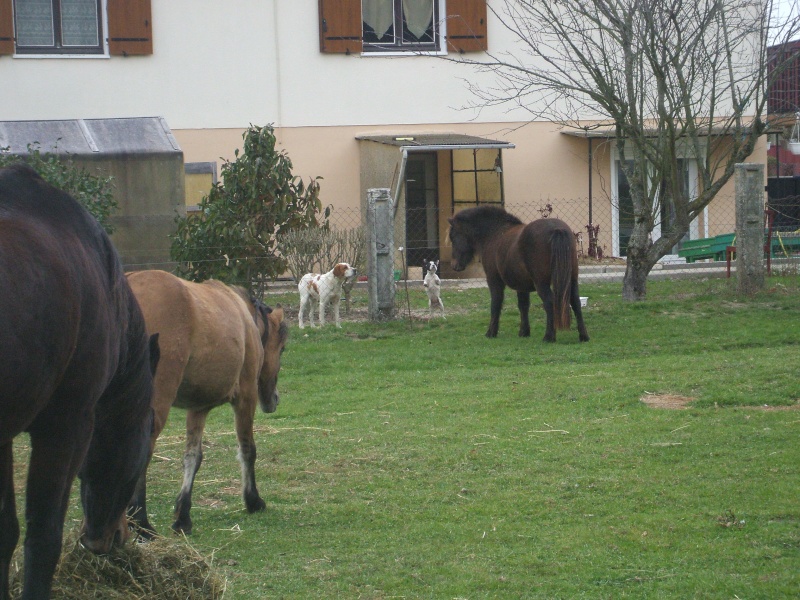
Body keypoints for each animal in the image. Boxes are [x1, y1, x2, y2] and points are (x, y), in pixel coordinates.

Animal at [125, 270, 288, 536]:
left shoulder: (198, 408)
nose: (274, 399)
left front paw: (183, 515)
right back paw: (141, 523)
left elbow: (193, 457)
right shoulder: (246, 397)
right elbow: (247, 449)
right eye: (282, 348)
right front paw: (253, 500)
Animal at [446, 205, 592, 342]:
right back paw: (583, 336)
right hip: (572, 279)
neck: (495, 233)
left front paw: (491, 332)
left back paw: (549, 336)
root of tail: (556, 229)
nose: (454, 265)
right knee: (575, 302)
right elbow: (523, 306)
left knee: (550, 302)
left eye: (453, 237)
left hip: (542, 283)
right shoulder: (521, 285)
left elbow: (496, 304)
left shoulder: (494, 280)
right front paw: (524, 332)